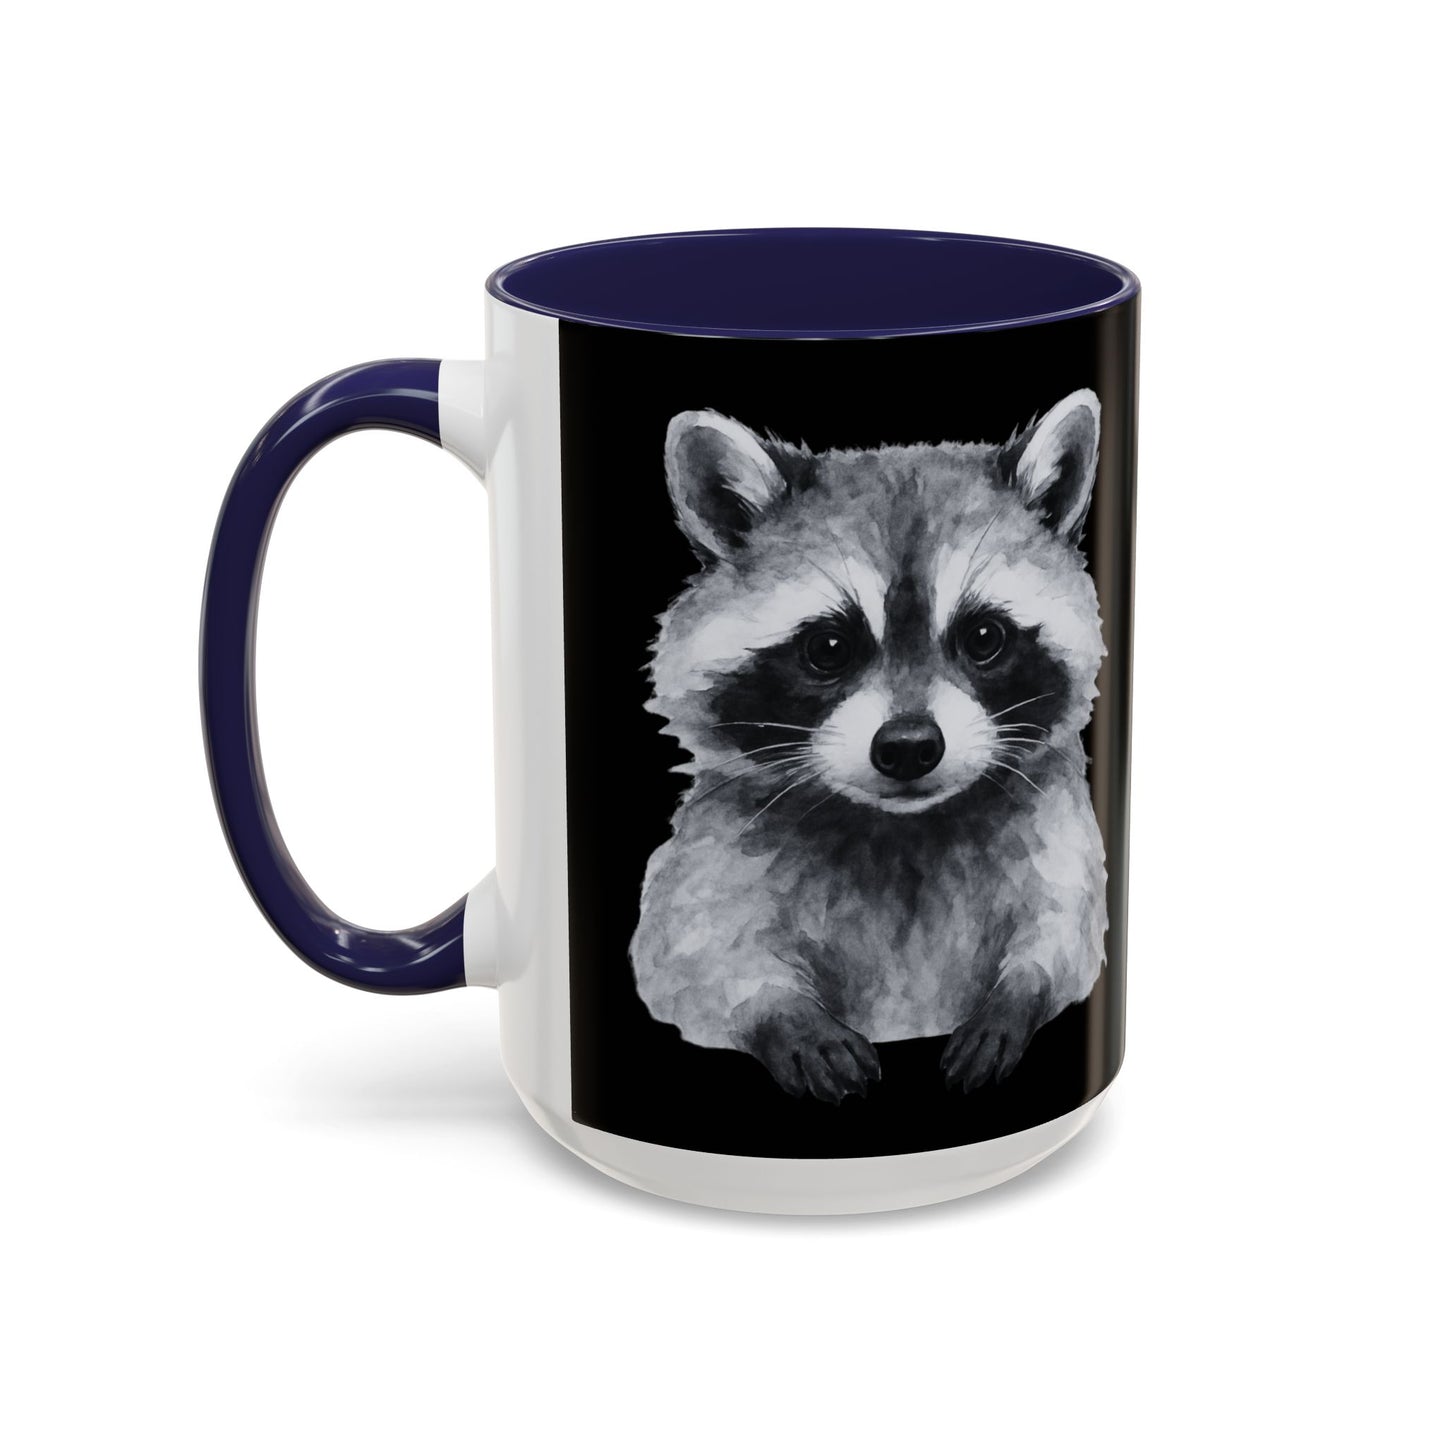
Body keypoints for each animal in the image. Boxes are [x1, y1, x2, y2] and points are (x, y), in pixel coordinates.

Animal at [630, 391, 1108, 1102]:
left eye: (985, 637)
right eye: (828, 647)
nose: (909, 747)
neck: (900, 828)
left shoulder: (1053, 829)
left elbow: (1065, 929)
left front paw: (1018, 992)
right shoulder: (719, 849)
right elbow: (688, 955)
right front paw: (780, 1012)